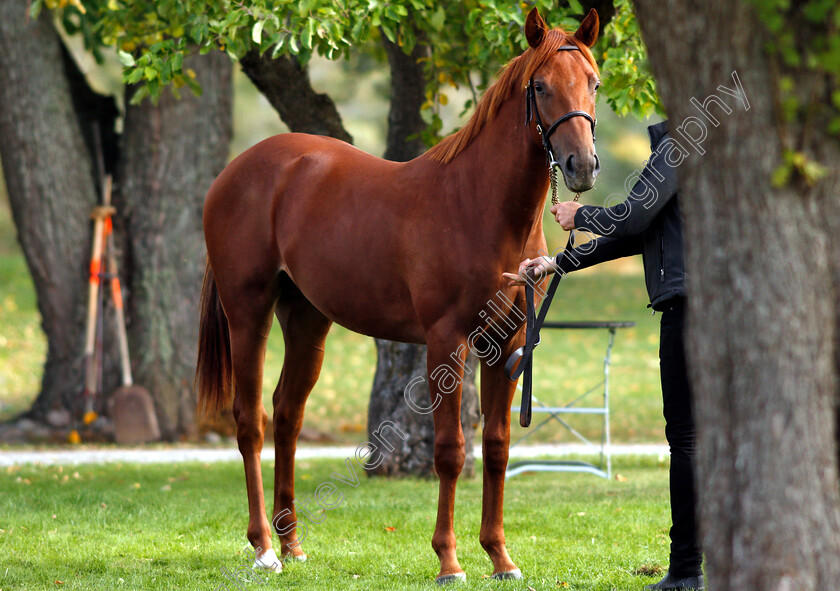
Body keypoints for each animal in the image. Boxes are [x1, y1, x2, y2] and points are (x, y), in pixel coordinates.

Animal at [197, 8, 600, 584]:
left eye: (593, 83)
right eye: (540, 86)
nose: (581, 166)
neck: (477, 204)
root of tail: (235, 171)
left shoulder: (507, 342)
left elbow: (497, 447)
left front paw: (500, 557)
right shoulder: (446, 342)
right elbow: (451, 451)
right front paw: (449, 561)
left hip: (308, 320)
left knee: (287, 414)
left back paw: (292, 544)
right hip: (247, 312)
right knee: (250, 420)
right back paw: (264, 549)